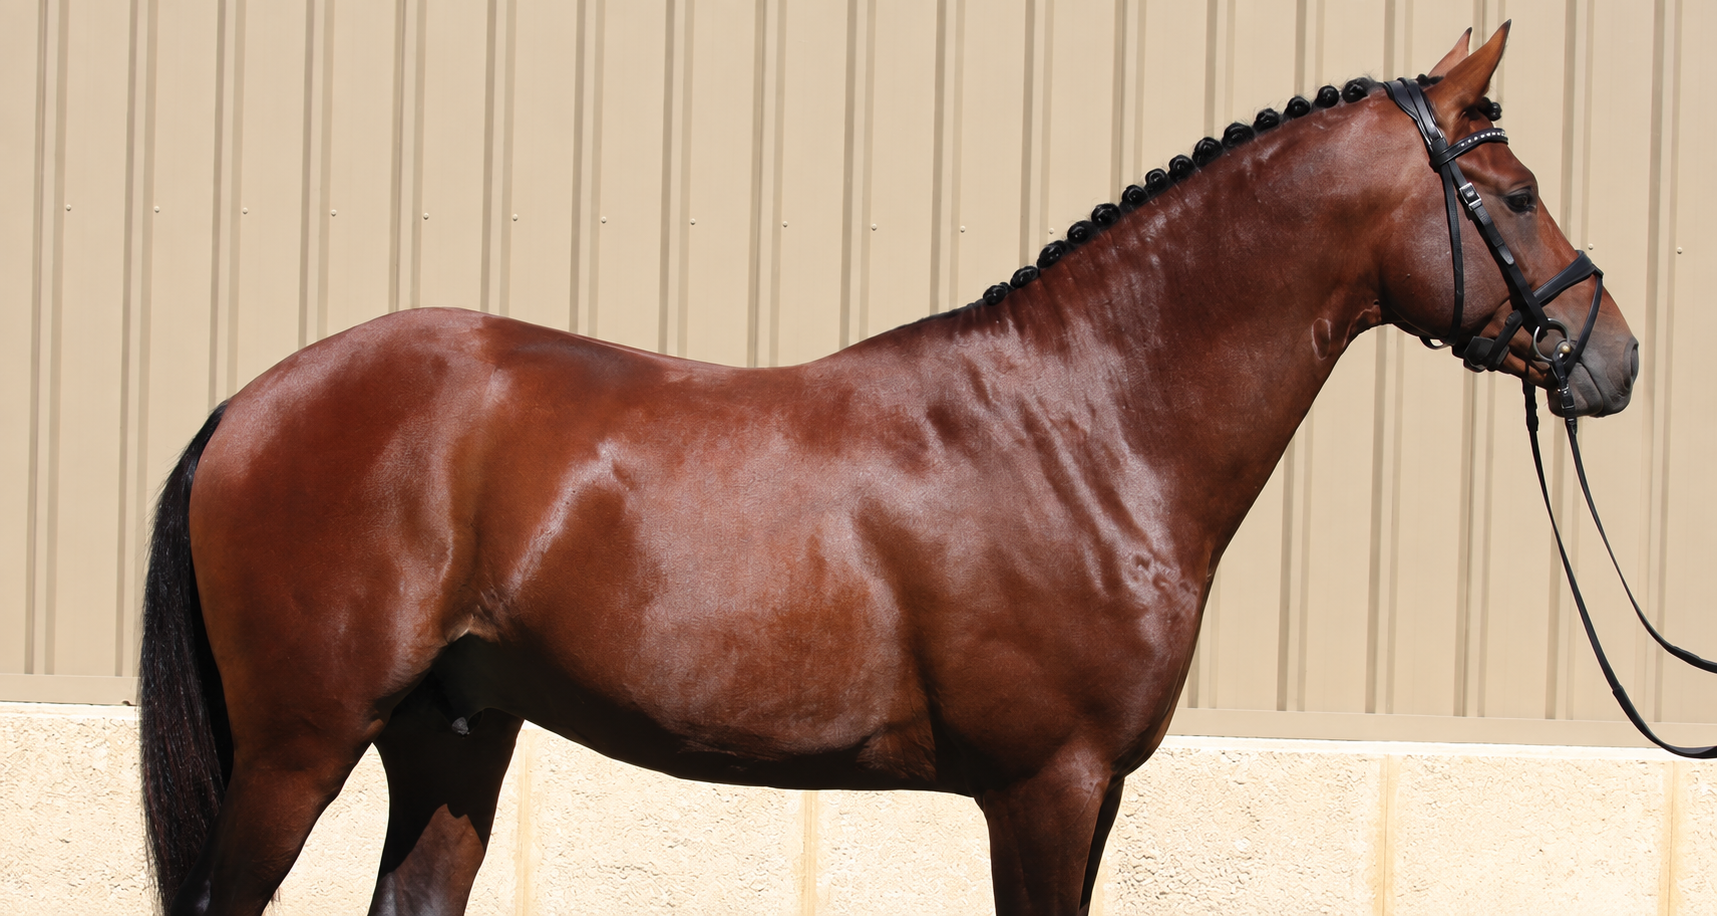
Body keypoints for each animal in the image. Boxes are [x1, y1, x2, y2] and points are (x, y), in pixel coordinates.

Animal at [138, 24, 1638, 916]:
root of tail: (249, 403)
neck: (1083, 426)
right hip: (300, 744)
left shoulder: (1086, 795)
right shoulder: (1046, 786)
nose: (1610, 359)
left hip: (451, 735)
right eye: (1512, 196)